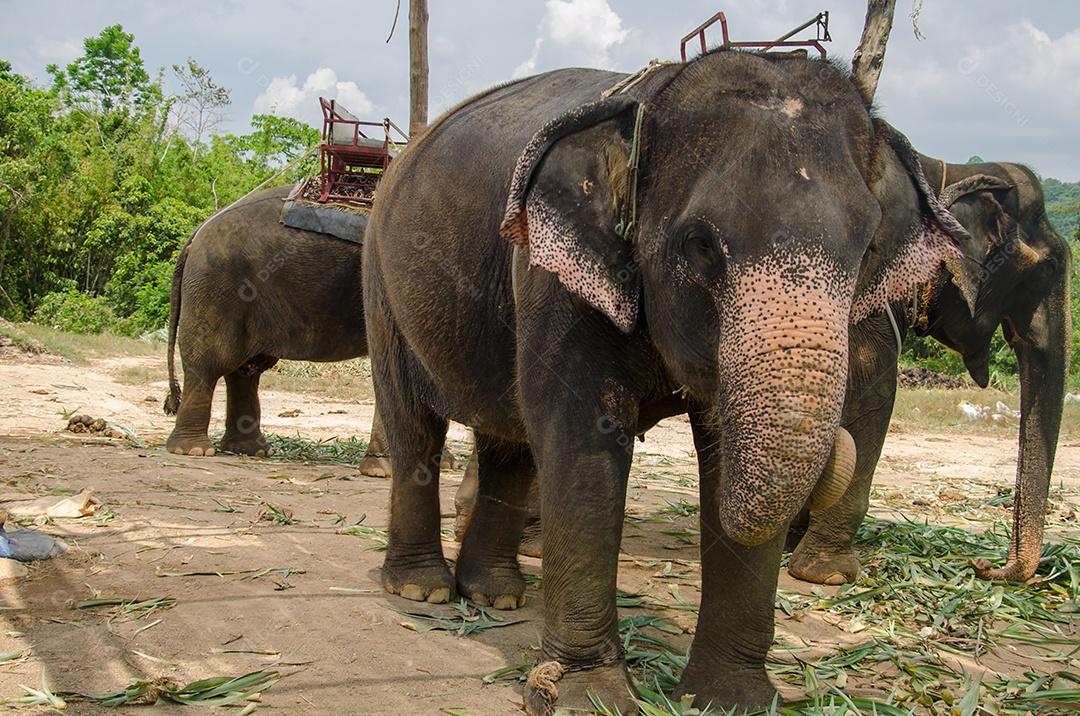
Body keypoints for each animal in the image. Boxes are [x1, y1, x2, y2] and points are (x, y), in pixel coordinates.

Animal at [362, 50, 979, 714]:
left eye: (867, 250)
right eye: (701, 245)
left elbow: (722, 457)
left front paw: (732, 702)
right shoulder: (551, 275)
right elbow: (584, 445)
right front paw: (591, 698)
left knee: (510, 443)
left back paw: (495, 596)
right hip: (380, 281)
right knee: (415, 427)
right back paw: (421, 591)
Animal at [788, 155, 1072, 585]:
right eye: (1049, 268)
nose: (982, 566)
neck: (941, 171)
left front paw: (793, 537)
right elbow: (872, 391)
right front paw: (829, 574)